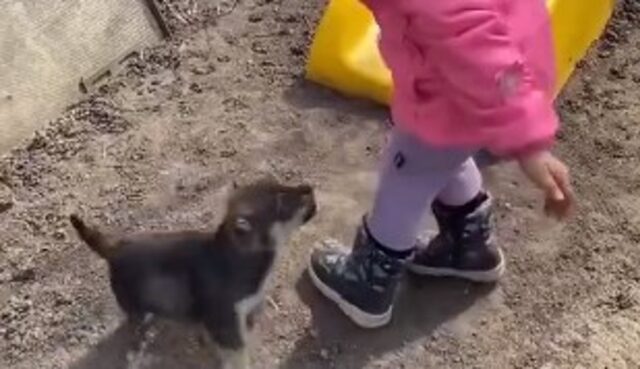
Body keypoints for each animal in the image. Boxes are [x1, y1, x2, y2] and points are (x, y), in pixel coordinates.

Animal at [69, 178, 316, 366]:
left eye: (282, 184)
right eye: (281, 202)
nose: (309, 187)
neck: (235, 258)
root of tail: (114, 247)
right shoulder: (226, 322)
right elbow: (238, 355)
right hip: (133, 303)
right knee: (134, 327)